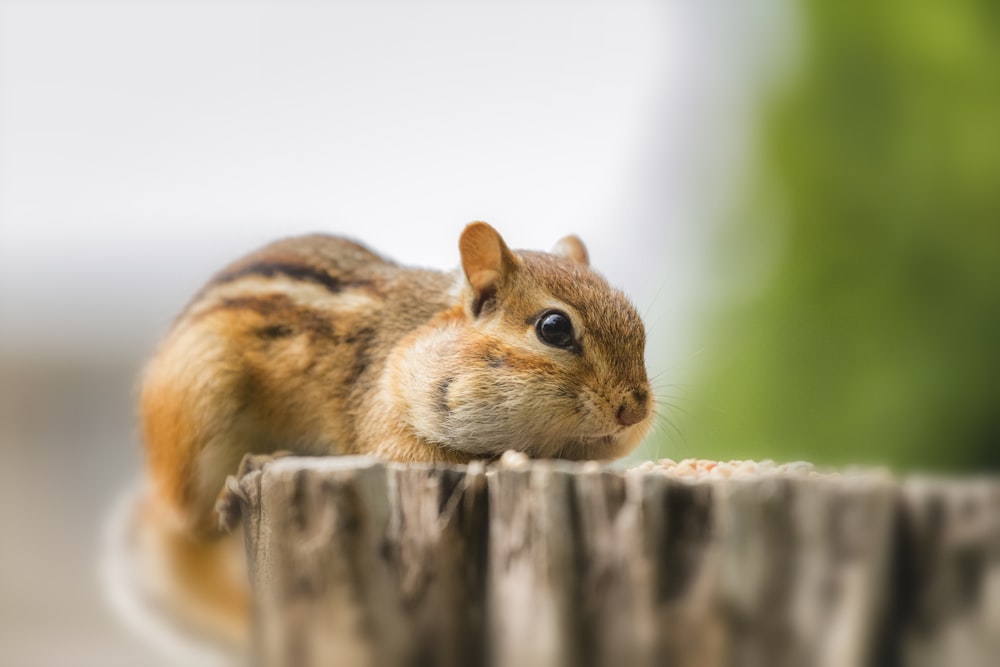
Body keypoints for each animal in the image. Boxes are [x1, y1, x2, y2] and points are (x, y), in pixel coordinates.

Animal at [111, 222, 656, 660]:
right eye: (554, 328)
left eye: (638, 325)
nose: (634, 410)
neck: (413, 338)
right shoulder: (386, 426)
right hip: (198, 415)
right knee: (191, 520)